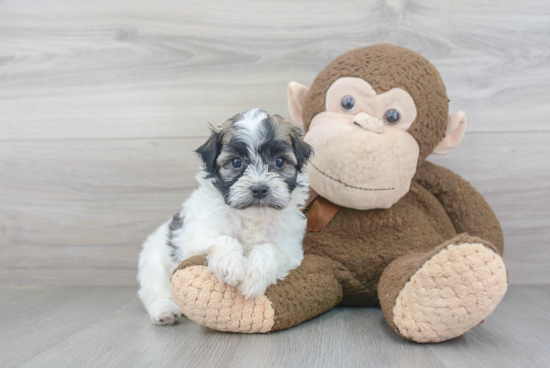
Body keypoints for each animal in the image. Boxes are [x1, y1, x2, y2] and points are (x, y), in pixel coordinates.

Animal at [138, 108, 314, 324]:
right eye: (236, 162)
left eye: (279, 161)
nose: (259, 189)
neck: (251, 217)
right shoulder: (196, 237)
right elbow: (225, 239)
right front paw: (229, 265)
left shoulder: (289, 249)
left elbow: (269, 248)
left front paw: (254, 276)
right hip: (154, 259)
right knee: (155, 290)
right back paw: (164, 311)